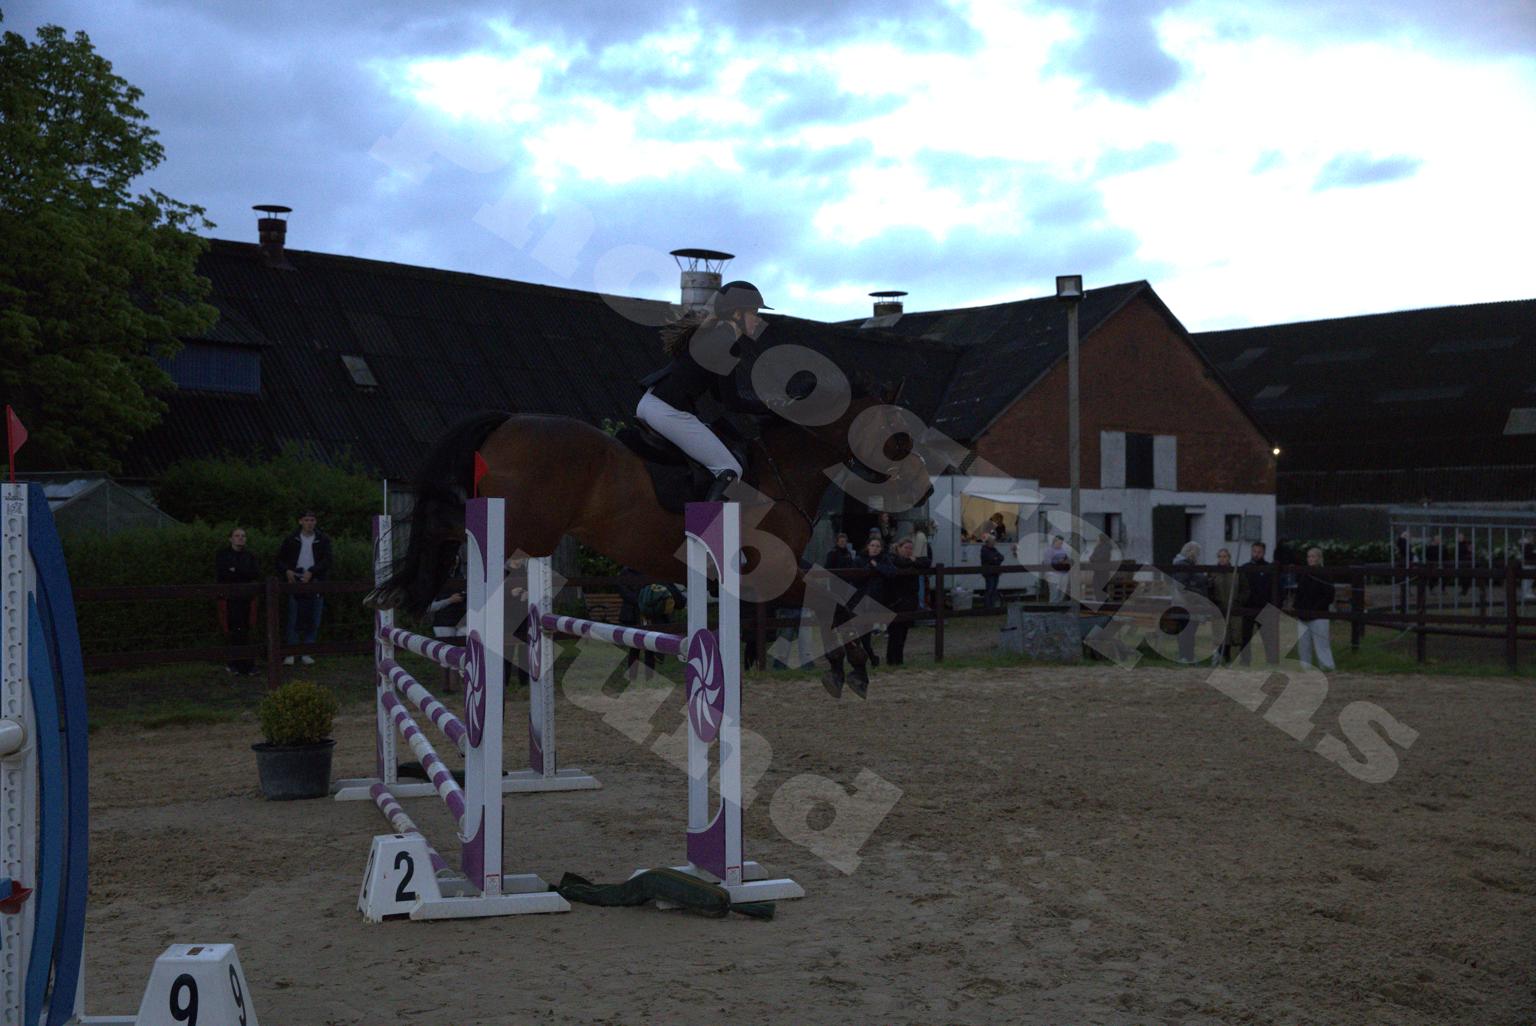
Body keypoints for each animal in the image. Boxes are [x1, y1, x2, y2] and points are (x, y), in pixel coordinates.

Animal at [366, 387, 928, 696]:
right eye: (898, 435)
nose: (921, 488)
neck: (782, 468)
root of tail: (508, 422)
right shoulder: (771, 573)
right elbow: (833, 597)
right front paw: (853, 665)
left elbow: (831, 597)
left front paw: (849, 664)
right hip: (526, 527)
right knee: (446, 524)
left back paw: (402, 588)